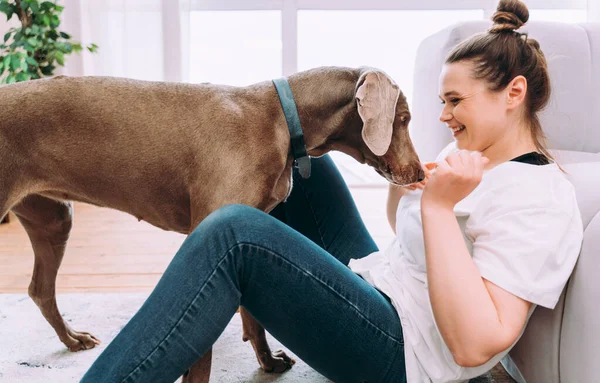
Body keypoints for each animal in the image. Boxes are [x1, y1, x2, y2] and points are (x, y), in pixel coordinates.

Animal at [0, 66, 422, 380]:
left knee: (40, 290)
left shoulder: (244, 229)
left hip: (54, 219)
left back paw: (72, 339)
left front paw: (268, 363)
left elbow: (253, 319)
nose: (420, 173)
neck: (282, 119)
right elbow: (201, 356)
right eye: (403, 119)